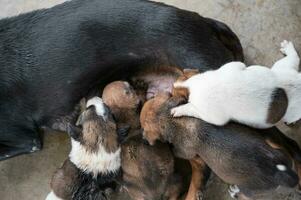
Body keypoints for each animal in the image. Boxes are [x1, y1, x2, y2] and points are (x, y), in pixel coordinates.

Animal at [141, 94, 300, 200]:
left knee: (246, 195)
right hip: (273, 145)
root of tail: (279, 170)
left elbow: (177, 151)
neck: (175, 120)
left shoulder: (184, 151)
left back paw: (235, 192)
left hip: (250, 188)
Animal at [170, 40, 298, 128]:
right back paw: (288, 47)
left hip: (294, 111)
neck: (193, 84)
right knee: (293, 59)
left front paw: (178, 110)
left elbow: (191, 109)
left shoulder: (213, 117)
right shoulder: (233, 66)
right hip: (282, 67)